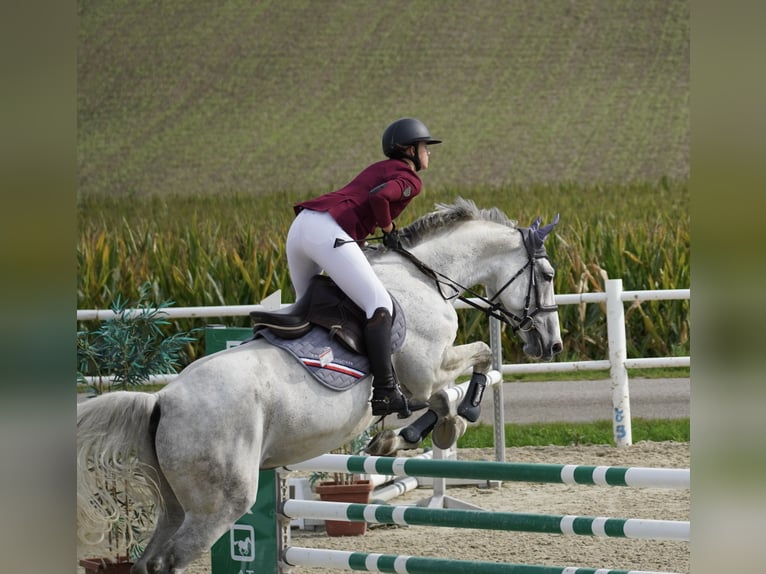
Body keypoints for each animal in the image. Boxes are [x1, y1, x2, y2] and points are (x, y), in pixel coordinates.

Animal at [78, 198, 564, 574]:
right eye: (549, 275)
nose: (552, 344)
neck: (427, 277)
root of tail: (161, 400)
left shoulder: (424, 377)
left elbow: (459, 376)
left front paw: (393, 438)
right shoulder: (427, 372)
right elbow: (463, 376)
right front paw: (448, 424)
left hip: (177, 504)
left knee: (149, 561)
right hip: (218, 505)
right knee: (170, 560)